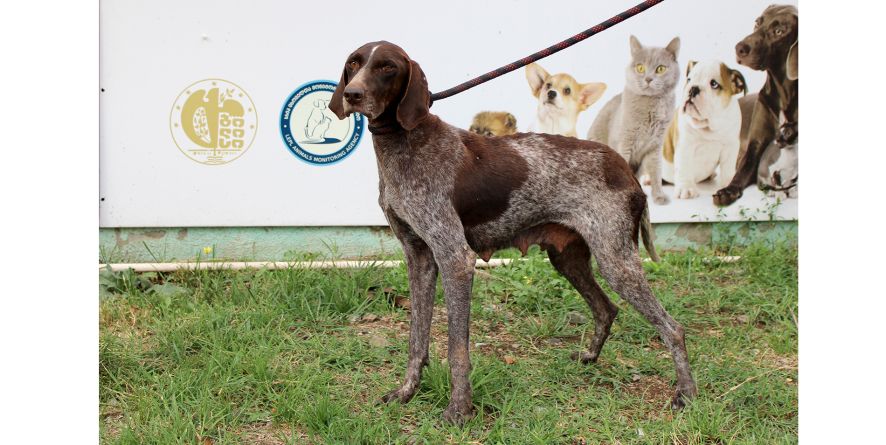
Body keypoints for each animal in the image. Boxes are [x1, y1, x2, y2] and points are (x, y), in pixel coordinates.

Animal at [592, 35, 684, 205]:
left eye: (660, 69)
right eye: (640, 68)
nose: (648, 79)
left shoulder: (655, 147)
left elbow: (656, 172)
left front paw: (658, 196)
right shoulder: (625, 142)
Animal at [664, 59, 748, 199]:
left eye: (714, 84)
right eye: (689, 79)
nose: (693, 88)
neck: (709, 126)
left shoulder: (730, 147)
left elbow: (728, 168)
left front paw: (728, 185)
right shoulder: (685, 145)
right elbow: (684, 167)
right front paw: (686, 188)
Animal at [716, 3, 796, 206]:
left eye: (779, 31)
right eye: (758, 22)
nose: (739, 48)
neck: (784, 94)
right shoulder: (755, 148)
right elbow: (742, 170)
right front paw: (727, 190)